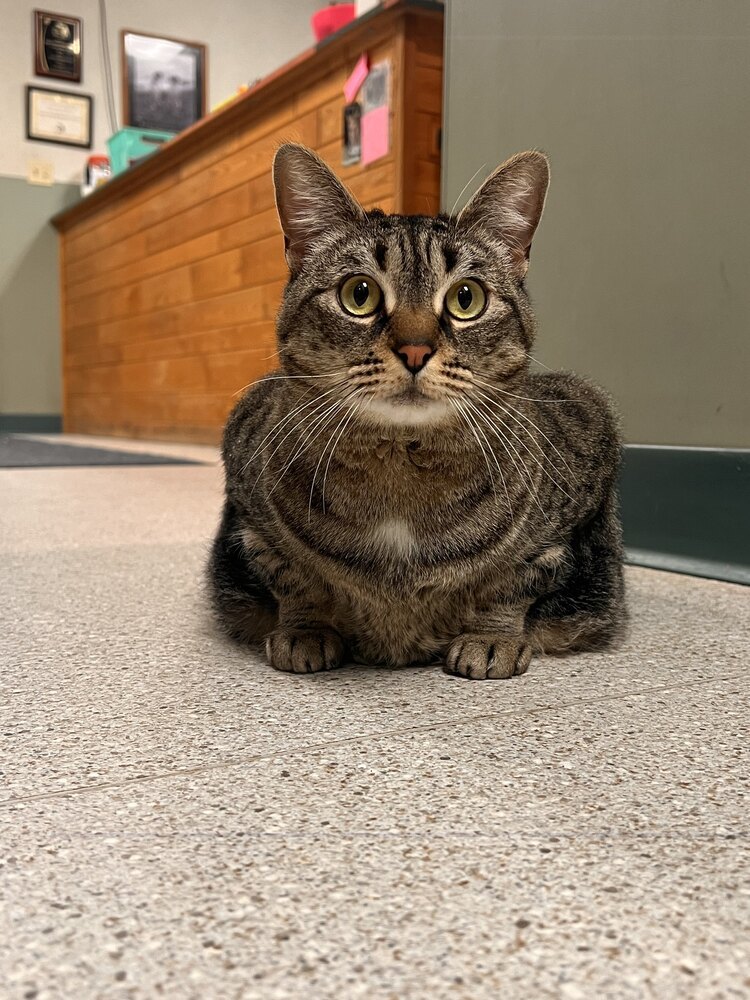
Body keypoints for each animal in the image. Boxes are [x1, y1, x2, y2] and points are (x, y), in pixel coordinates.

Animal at [209, 145, 624, 680]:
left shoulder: (584, 442)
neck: (400, 469)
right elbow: (291, 578)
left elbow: (514, 583)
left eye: (466, 298)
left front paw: (491, 637)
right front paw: (305, 630)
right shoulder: (250, 512)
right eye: (358, 294)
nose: (415, 349)